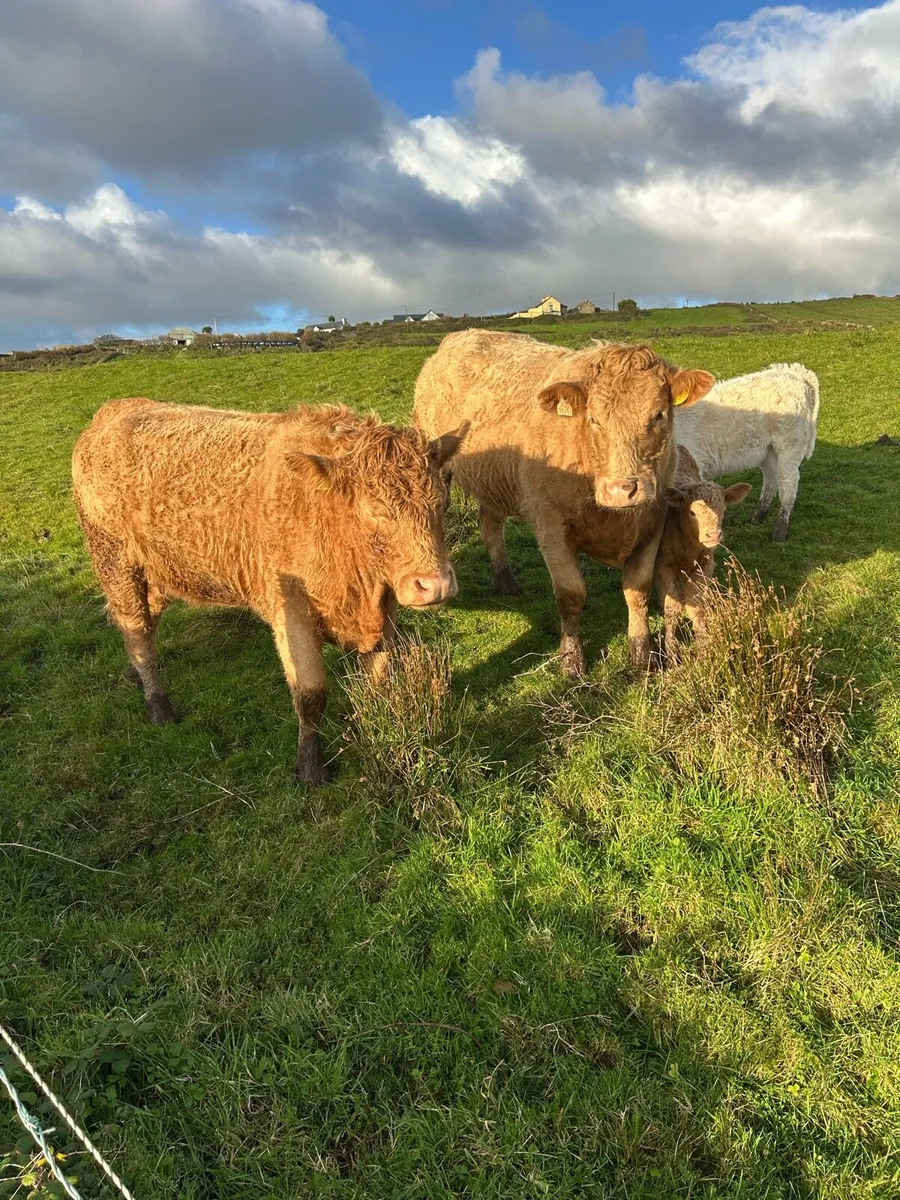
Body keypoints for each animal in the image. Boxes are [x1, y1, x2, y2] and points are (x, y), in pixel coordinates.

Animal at [72, 398, 463, 784]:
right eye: (376, 511)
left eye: (443, 501)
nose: (435, 584)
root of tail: (112, 410)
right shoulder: (291, 612)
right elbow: (311, 695)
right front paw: (310, 768)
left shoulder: (385, 613)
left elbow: (377, 682)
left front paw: (372, 732)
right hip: (115, 562)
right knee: (137, 631)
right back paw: (158, 705)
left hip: (155, 573)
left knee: (143, 626)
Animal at [413, 330, 714, 676]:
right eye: (595, 419)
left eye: (658, 415)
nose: (622, 489)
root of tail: (461, 336)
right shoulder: (551, 528)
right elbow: (571, 595)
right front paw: (572, 659)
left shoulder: (652, 525)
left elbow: (637, 592)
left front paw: (642, 654)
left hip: (496, 481)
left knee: (489, 525)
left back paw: (506, 581)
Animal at [656, 447, 751, 662]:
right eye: (692, 512)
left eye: (723, 510)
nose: (713, 535)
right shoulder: (663, 564)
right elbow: (672, 606)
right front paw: (671, 650)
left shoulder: (705, 564)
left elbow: (696, 605)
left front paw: (703, 645)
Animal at [674, 362, 819, 542]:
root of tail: (795, 372)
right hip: (767, 450)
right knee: (771, 478)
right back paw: (759, 515)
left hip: (790, 444)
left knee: (788, 483)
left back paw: (780, 530)